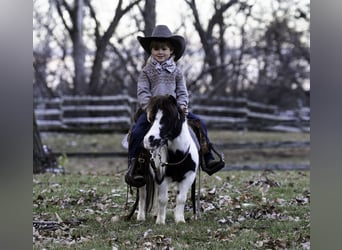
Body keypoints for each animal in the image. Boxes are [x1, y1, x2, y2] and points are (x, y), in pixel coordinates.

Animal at [132, 94, 200, 224]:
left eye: (167, 118)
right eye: (151, 119)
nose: (148, 140)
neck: (179, 155)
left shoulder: (189, 176)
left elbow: (181, 198)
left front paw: (179, 220)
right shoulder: (163, 178)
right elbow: (163, 199)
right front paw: (160, 221)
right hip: (142, 176)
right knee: (143, 195)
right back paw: (141, 217)